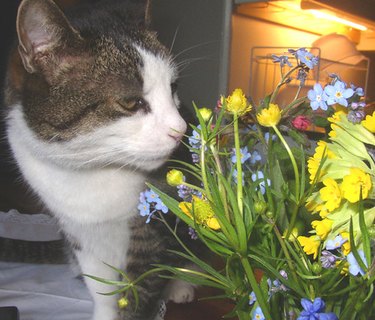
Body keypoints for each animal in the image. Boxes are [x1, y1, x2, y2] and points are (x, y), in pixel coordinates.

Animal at [2, 0, 195, 318]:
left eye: (174, 88)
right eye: (130, 102)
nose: (180, 131)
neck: (92, 168)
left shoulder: (151, 226)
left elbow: (140, 288)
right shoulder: (79, 232)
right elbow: (102, 287)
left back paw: (181, 283)